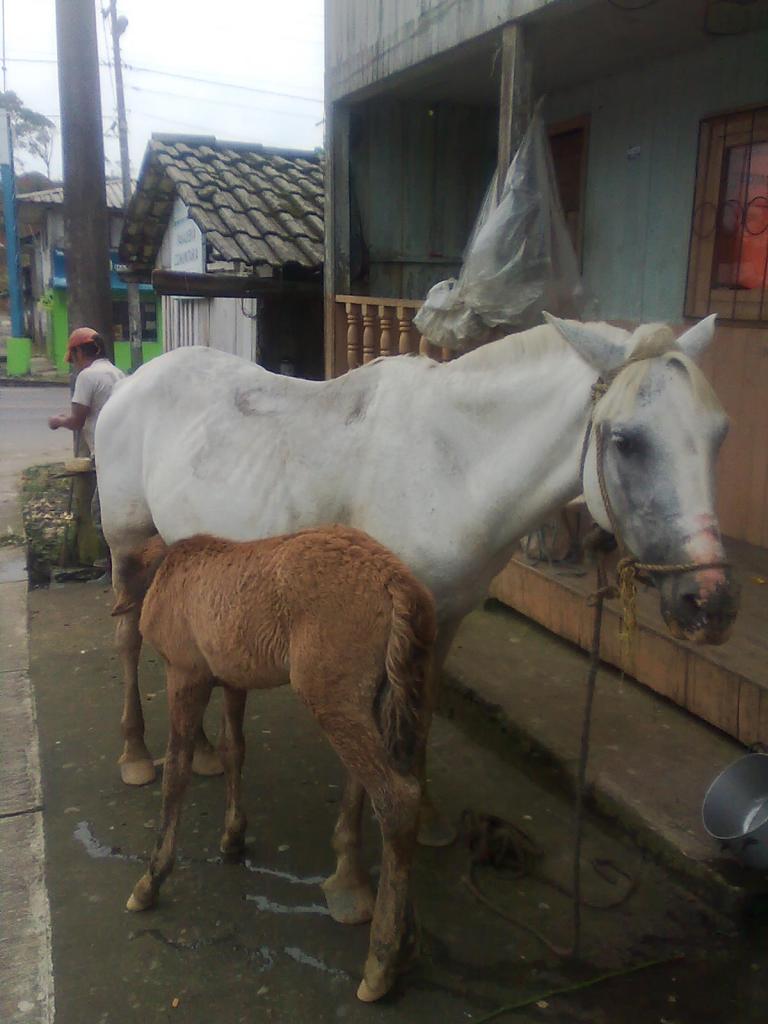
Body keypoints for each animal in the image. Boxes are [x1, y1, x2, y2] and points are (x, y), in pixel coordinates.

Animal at [96, 313, 741, 839]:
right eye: (627, 441)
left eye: (720, 434)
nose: (709, 603)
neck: (451, 464)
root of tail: (131, 381)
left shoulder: (443, 620)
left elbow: (423, 714)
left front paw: (426, 818)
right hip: (125, 544)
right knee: (126, 638)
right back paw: (134, 755)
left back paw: (204, 750)